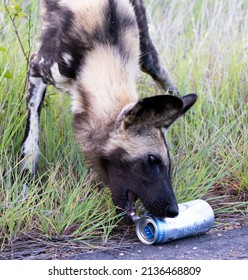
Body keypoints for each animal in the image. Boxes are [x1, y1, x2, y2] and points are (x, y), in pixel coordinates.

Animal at [20, 0, 197, 223]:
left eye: (169, 164)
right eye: (151, 160)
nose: (173, 211)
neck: (100, 49)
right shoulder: (37, 69)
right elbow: (31, 142)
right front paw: (26, 186)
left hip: (147, 51)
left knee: (162, 76)